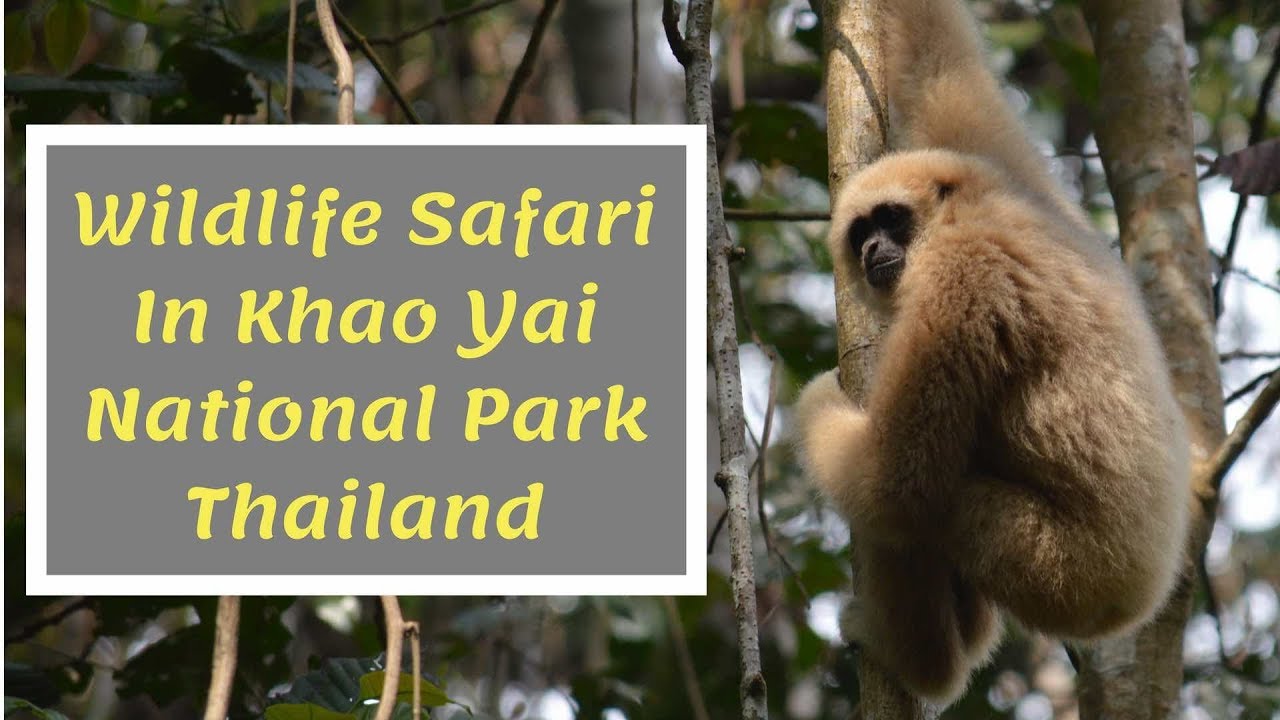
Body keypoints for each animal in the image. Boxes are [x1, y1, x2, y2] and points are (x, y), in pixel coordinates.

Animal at [792, 0, 1191, 704]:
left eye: (890, 221)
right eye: (861, 232)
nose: (870, 253)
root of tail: (1144, 593)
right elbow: (941, 66)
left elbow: (893, 481)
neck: (971, 213)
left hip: (1053, 569)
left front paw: (817, 399)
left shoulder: (959, 279)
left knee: (927, 506)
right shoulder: (1003, 172)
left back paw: (920, 661)